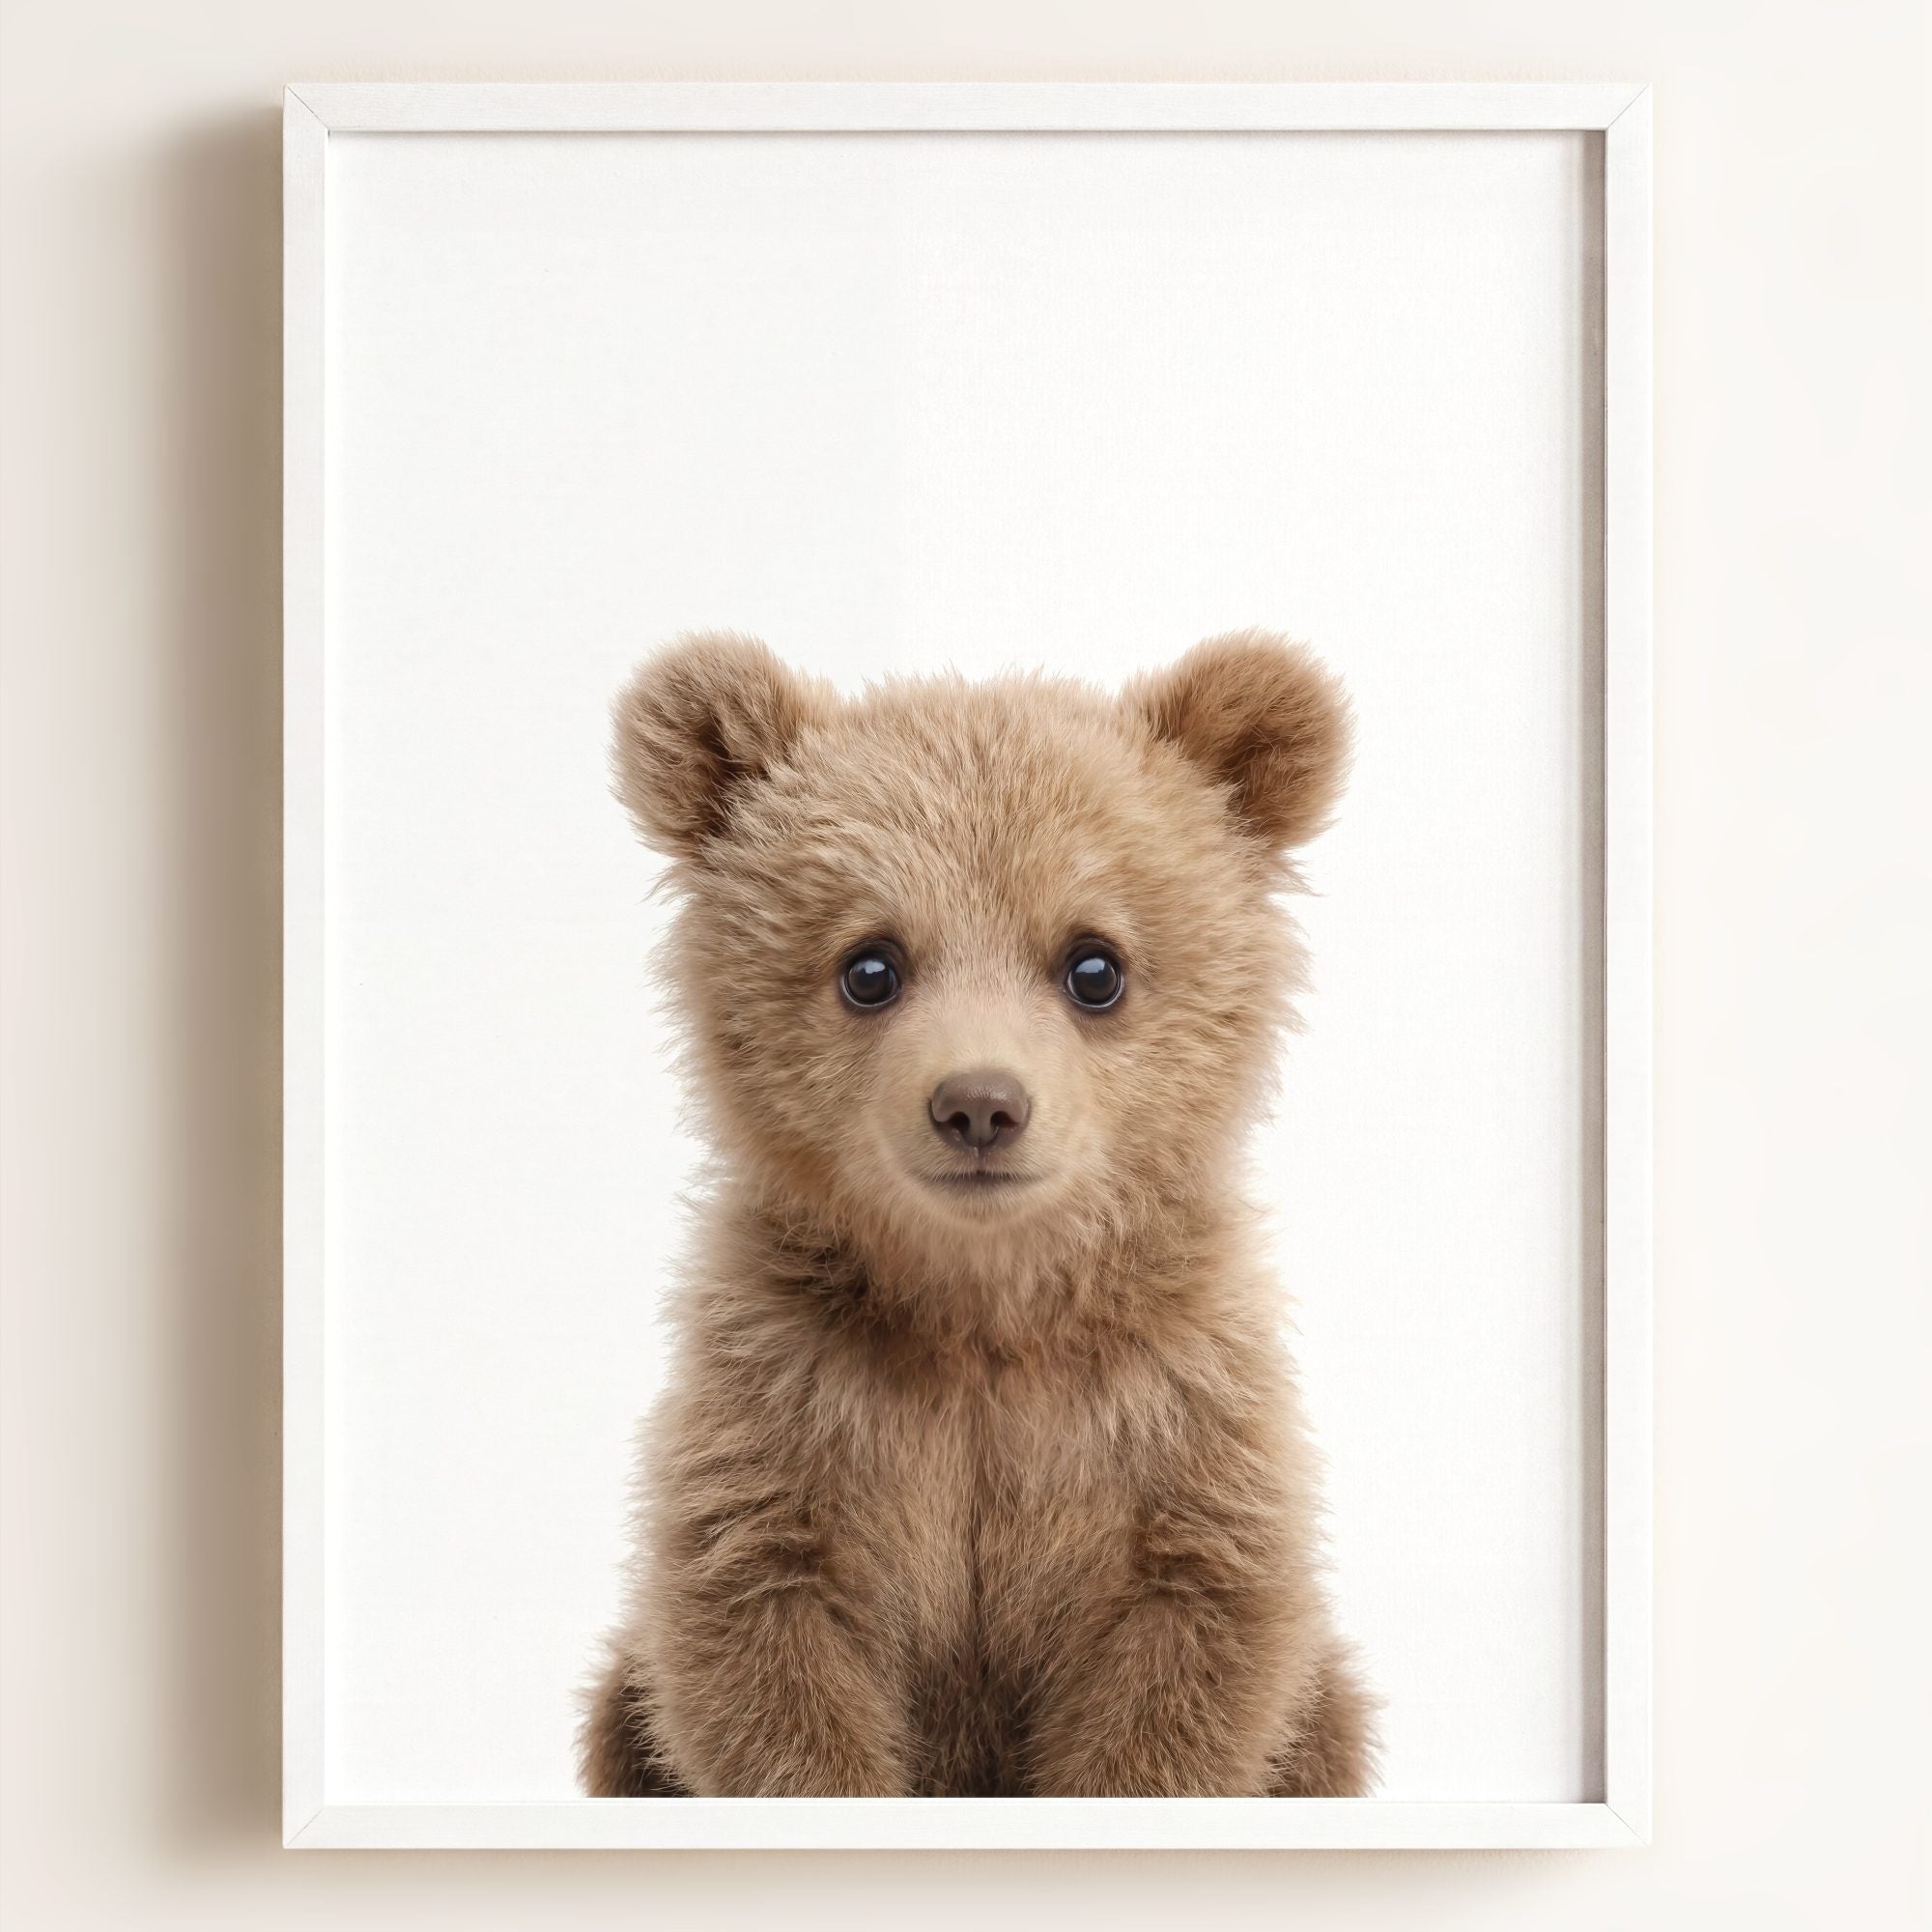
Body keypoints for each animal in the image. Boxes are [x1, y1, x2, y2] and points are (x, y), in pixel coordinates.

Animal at [579, 628, 1376, 1799]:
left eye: (1094, 964)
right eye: (870, 965)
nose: (979, 1104)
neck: (982, 1304)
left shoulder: (1171, 1417)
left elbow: (1187, 1653)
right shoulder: (787, 1406)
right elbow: (762, 1643)